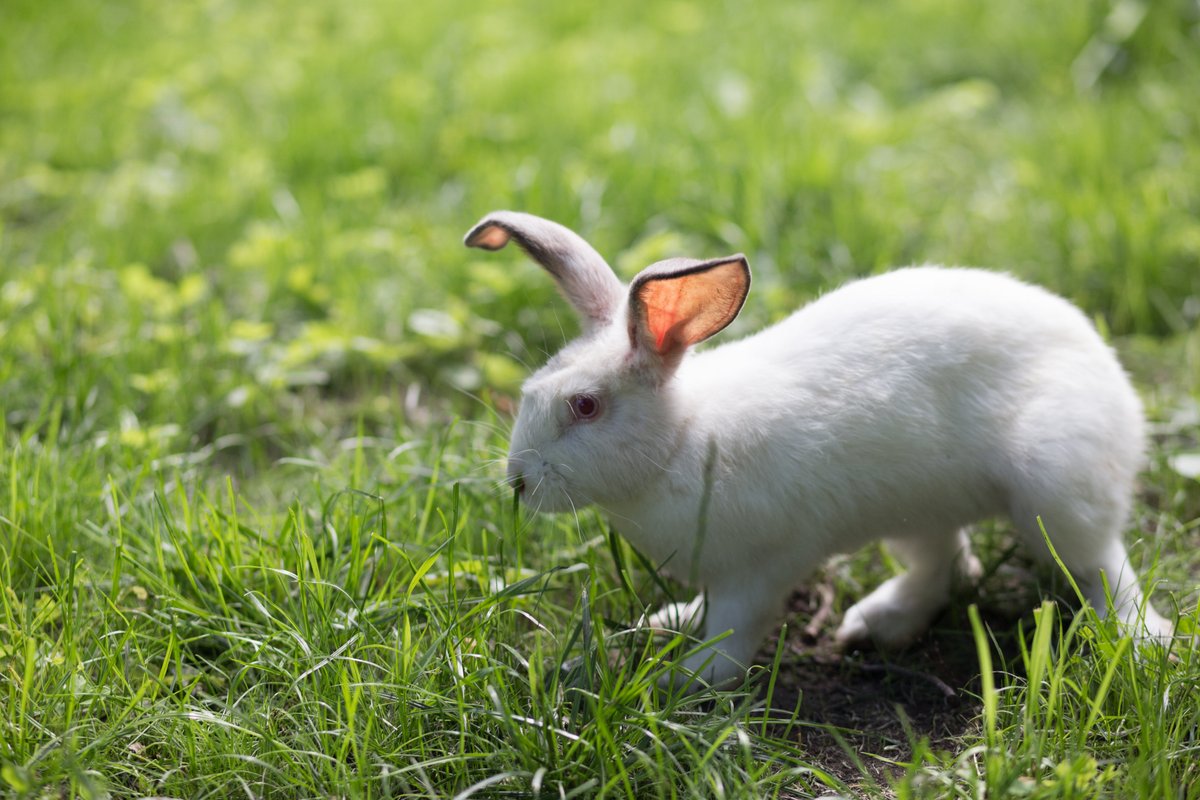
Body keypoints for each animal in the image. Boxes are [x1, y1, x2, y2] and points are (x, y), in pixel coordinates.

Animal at [463, 211, 1176, 690]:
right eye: (531, 390)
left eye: (585, 406)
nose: (518, 481)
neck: (683, 438)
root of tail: (1112, 377)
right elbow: (705, 611)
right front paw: (664, 623)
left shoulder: (759, 570)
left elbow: (734, 634)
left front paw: (681, 678)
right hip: (912, 510)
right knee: (946, 563)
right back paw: (877, 623)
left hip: (1057, 492)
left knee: (1101, 568)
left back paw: (1142, 641)